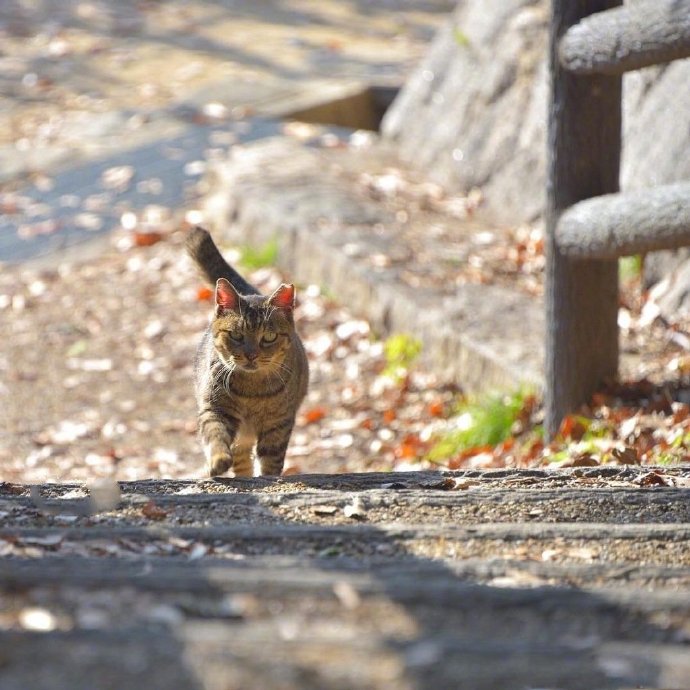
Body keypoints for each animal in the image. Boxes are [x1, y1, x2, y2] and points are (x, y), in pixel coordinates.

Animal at [187, 228, 308, 476]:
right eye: (236, 335)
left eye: (269, 337)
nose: (251, 355)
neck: (252, 393)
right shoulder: (215, 409)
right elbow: (216, 434)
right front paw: (218, 460)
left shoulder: (278, 425)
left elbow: (271, 463)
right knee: (242, 458)